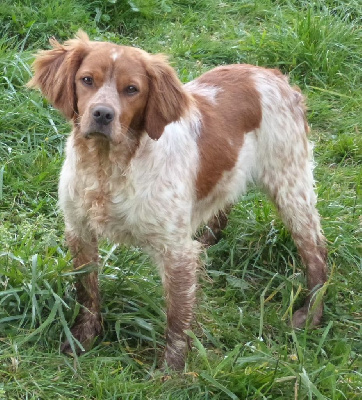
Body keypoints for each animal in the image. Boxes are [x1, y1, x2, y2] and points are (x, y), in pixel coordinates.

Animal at [28, 31, 328, 368]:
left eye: (132, 89)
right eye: (87, 80)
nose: (103, 114)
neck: (108, 169)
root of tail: (274, 75)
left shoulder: (175, 251)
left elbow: (177, 316)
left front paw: (171, 370)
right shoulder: (79, 230)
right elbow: (87, 292)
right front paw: (82, 339)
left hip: (291, 188)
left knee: (316, 253)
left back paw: (311, 315)